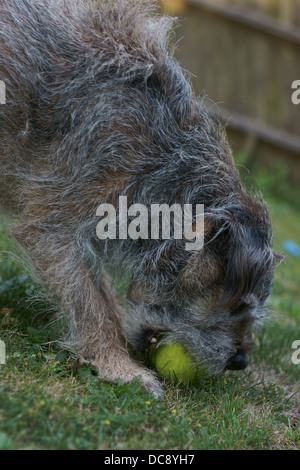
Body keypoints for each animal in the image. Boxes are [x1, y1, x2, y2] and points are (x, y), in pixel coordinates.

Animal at [1, 0, 280, 396]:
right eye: (239, 304)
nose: (239, 362)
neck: (165, 158)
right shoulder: (49, 229)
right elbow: (87, 303)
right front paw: (117, 365)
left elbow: (101, 290)